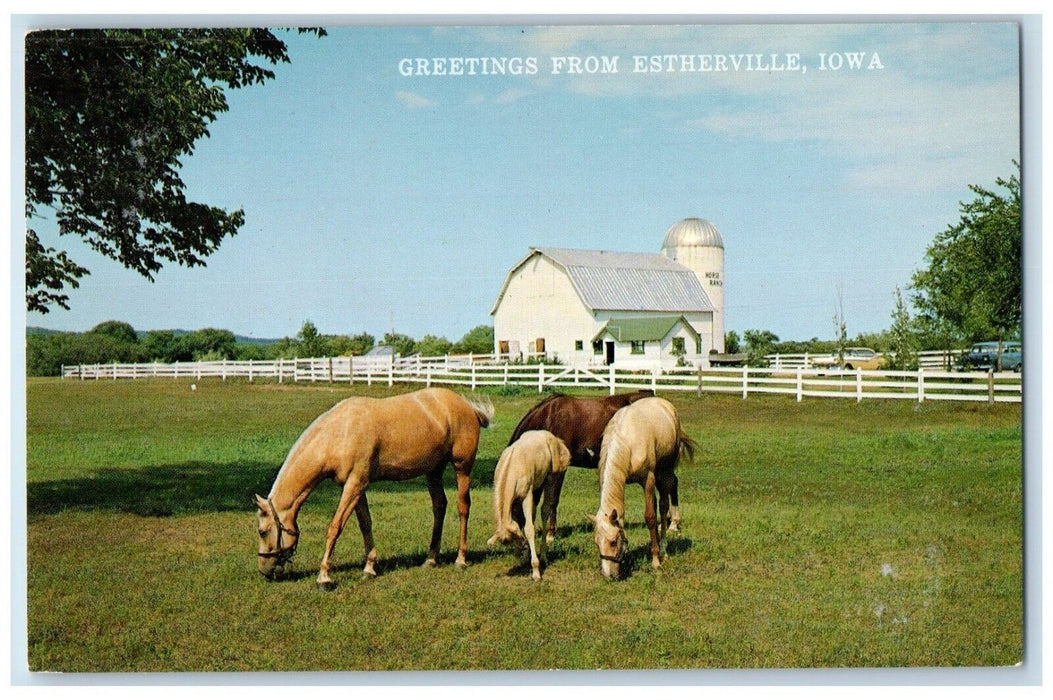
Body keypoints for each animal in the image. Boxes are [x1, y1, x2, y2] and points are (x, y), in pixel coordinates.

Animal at [253, 385, 492, 585]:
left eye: (263, 531)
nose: (264, 571)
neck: (340, 432)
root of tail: (467, 407)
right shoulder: (356, 486)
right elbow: (365, 524)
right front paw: (369, 568)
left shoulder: (354, 485)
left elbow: (335, 526)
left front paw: (324, 576)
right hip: (433, 472)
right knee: (439, 507)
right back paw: (431, 558)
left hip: (462, 468)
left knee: (463, 508)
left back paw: (460, 559)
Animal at [486, 429, 572, 581]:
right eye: (510, 541)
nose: (522, 546)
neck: (512, 467)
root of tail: (552, 437)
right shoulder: (514, 502)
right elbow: (522, 521)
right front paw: (524, 557)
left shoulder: (526, 496)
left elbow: (529, 528)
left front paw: (536, 571)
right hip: (537, 485)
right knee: (534, 512)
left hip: (550, 479)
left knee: (544, 511)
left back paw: (543, 556)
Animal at [509, 387, 682, 538]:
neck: (549, 418)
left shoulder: (559, 469)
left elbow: (553, 500)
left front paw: (551, 534)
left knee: (671, 483)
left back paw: (673, 524)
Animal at [589, 395, 694, 581]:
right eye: (596, 543)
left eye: (613, 542)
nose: (609, 575)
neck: (627, 441)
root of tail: (666, 405)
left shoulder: (648, 480)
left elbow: (650, 517)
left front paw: (656, 561)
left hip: (665, 470)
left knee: (664, 505)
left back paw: (664, 547)